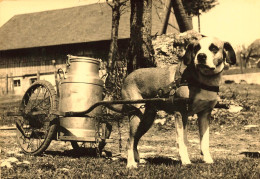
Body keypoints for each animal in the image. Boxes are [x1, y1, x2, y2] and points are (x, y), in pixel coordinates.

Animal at [120, 36, 238, 168]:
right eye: (196, 48)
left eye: (213, 48)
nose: (201, 56)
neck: (203, 79)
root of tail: (128, 77)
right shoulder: (181, 113)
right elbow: (182, 141)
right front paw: (186, 161)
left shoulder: (204, 114)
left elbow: (204, 141)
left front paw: (208, 159)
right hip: (136, 116)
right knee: (129, 141)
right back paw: (131, 164)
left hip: (146, 119)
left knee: (135, 139)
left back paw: (138, 160)